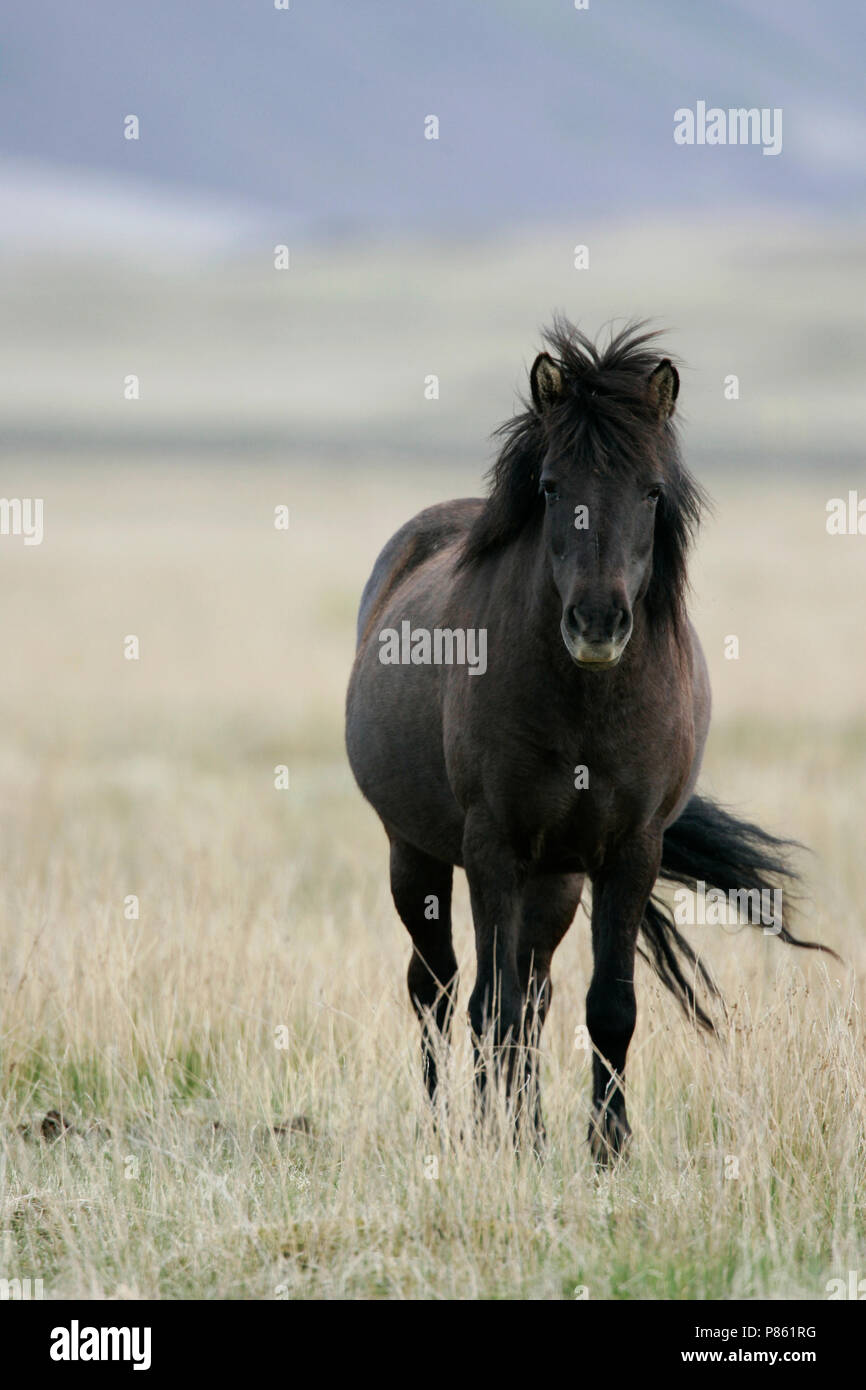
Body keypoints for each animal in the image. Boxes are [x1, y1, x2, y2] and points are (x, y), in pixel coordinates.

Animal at [343, 318, 834, 1162]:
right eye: (549, 489)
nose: (598, 624)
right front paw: (499, 1143)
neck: (584, 710)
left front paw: (604, 1148)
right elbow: (491, 1006)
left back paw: (531, 1127)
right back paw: (452, 1125)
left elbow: (606, 1007)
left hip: (557, 882)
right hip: (417, 855)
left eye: (651, 491)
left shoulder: (629, 851)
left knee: (533, 993)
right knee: (437, 988)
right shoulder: (492, 847)